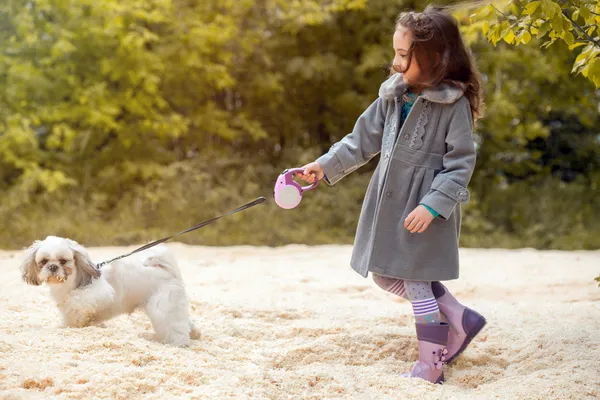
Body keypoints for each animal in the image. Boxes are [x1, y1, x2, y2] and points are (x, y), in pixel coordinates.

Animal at [19, 236, 200, 346]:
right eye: (43, 261)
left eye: (63, 261)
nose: (52, 267)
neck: (70, 282)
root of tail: (167, 271)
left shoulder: (101, 293)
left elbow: (76, 300)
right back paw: (194, 333)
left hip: (163, 310)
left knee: (175, 328)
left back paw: (177, 343)